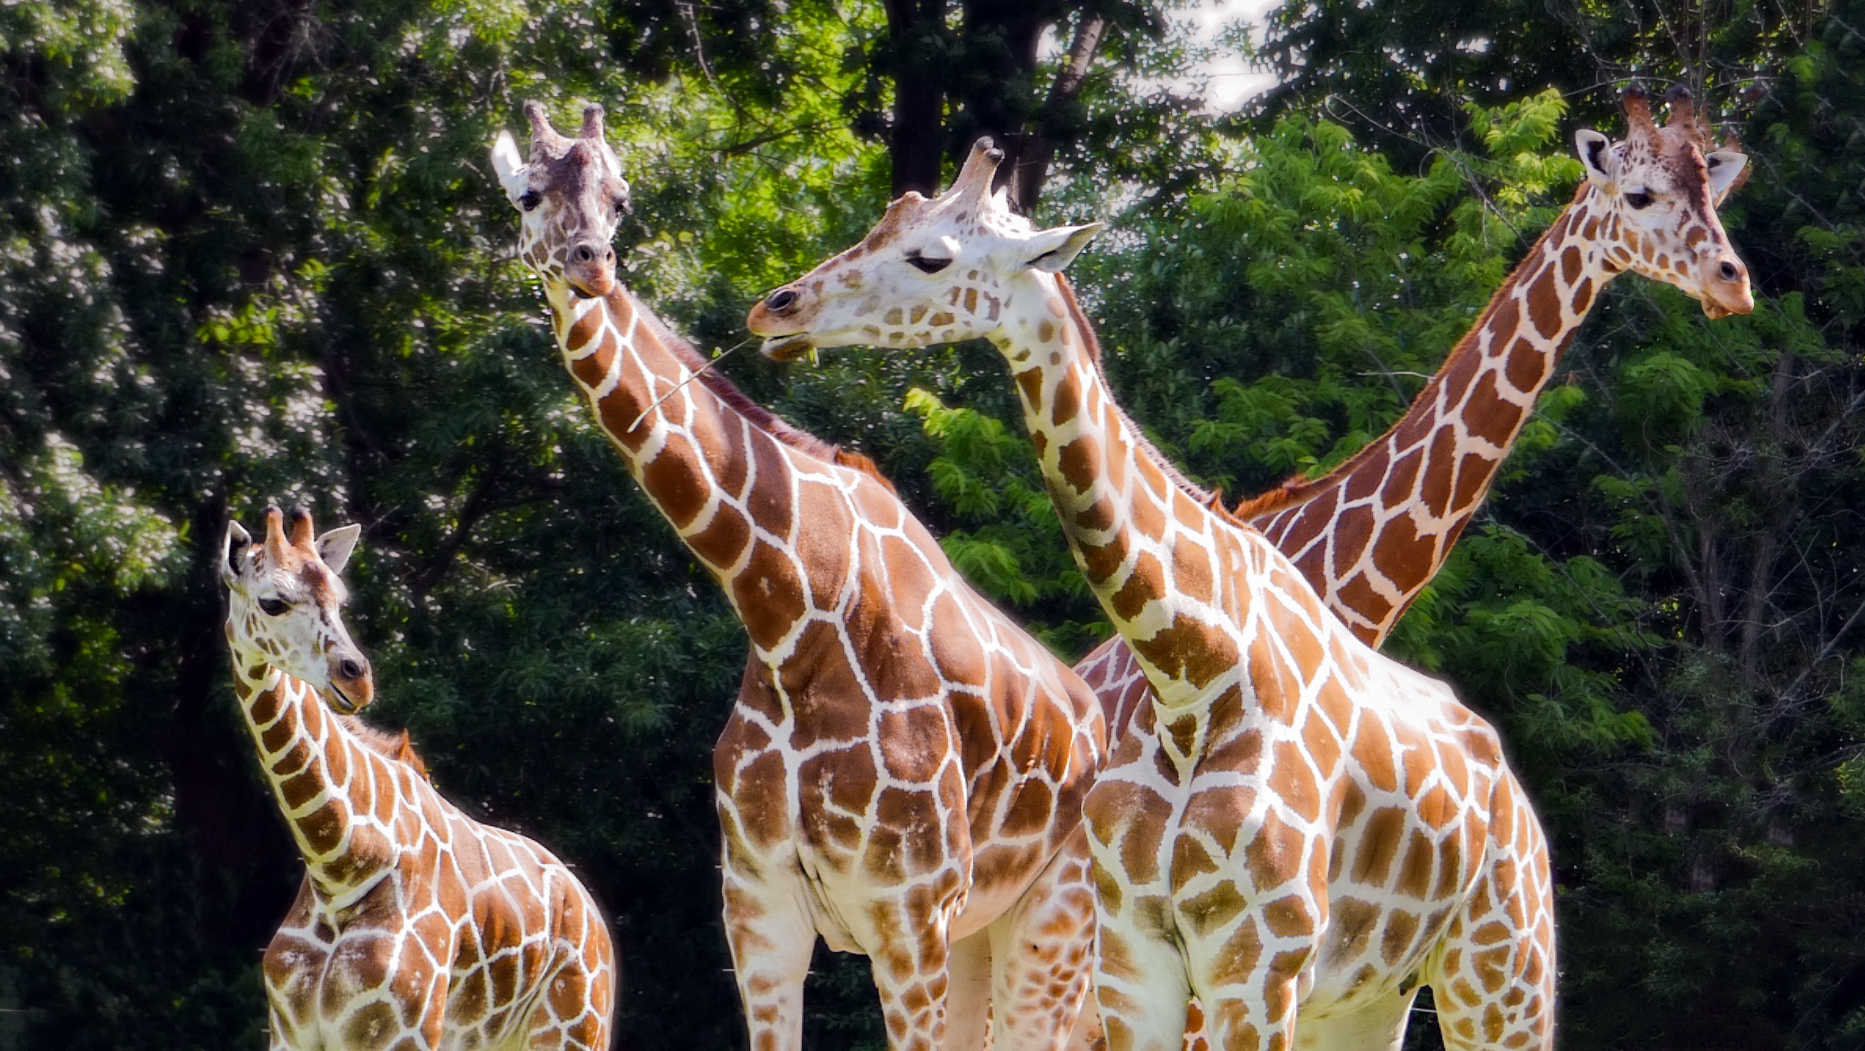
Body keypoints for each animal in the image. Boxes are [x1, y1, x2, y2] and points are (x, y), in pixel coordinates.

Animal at [222, 505, 615, 1050]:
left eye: (340, 599)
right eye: (272, 602)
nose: (356, 677)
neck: (339, 867)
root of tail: (593, 916)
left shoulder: (405, 1032)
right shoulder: (290, 1034)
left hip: (574, 1028)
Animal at [488, 102, 1107, 1051]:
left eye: (621, 198)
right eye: (528, 195)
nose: (590, 262)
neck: (789, 608)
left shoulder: (908, 913)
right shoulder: (758, 911)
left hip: (1051, 923)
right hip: (983, 935)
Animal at [748, 143, 1556, 1050]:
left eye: (932, 256)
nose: (776, 307)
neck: (1192, 669)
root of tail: (1513, 793)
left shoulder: (1255, 965)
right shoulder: (1137, 962)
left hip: (1500, 966)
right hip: (1367, 996)